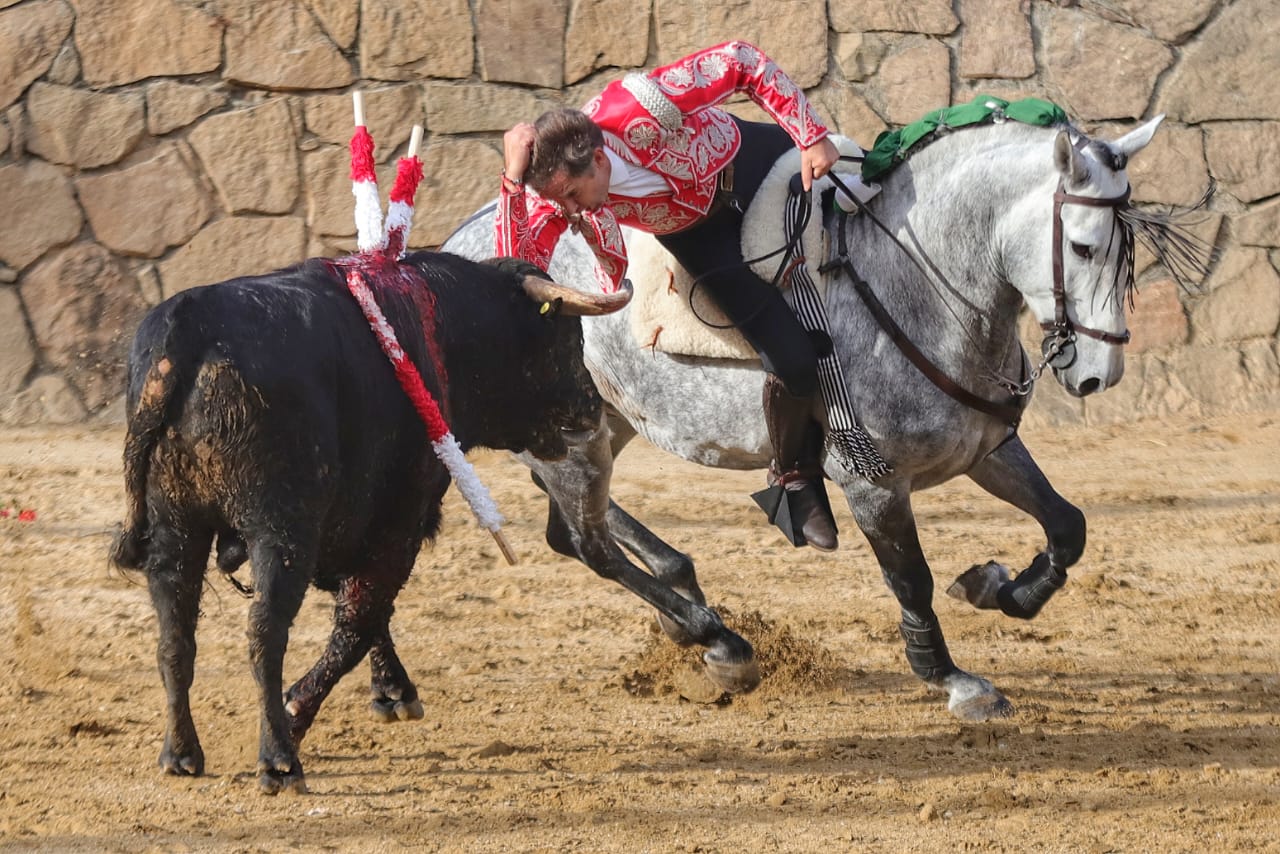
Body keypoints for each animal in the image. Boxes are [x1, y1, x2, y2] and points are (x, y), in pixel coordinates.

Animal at [111, 252, 629, 793]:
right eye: (566, 340)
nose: (594, 408)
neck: (443, 329)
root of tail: (189, 326)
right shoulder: (399, 517)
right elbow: (359, 617)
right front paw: (300, 710)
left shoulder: (359, 523)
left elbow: (365, 606)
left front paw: (392, 690)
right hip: (281, 530)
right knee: (264, 632)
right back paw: (279, 757)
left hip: (174, 527)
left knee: (174, 635)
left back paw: (181, 752)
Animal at [445, 110, 1203, 717]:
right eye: (1081, 245)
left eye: (1129, 249)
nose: (1099, 373)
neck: (921, 284)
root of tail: (457, 246)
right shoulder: (872, 482)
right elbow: (912, 578)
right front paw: (952, 679)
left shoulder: (986, 450)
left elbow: (1068, 527)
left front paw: (995, 587)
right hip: (575, 439)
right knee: (590, 543)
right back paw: (720, 640)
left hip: (600, 422)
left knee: (571, 530)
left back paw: (687, 601)